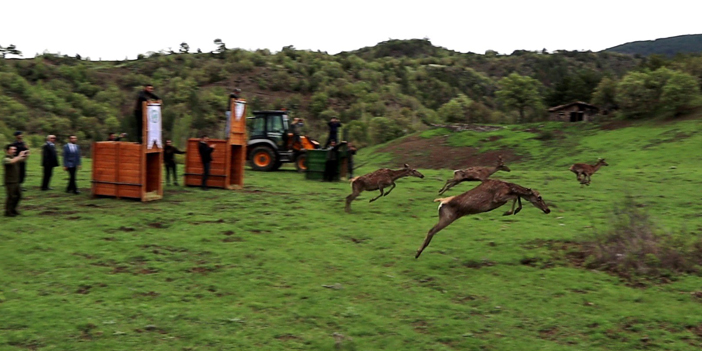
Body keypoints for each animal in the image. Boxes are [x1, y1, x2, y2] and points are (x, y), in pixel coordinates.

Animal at [416, 180, 552, 260]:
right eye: (539, 197)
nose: (548, 209)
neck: (508, 186)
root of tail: (441, 202)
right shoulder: (497, 198)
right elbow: (515, 196)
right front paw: (509, 212)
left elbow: (517, 196)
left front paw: (514, 211)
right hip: (447, 217)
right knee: (431, 230)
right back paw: (417, 253)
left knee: (431, 230)